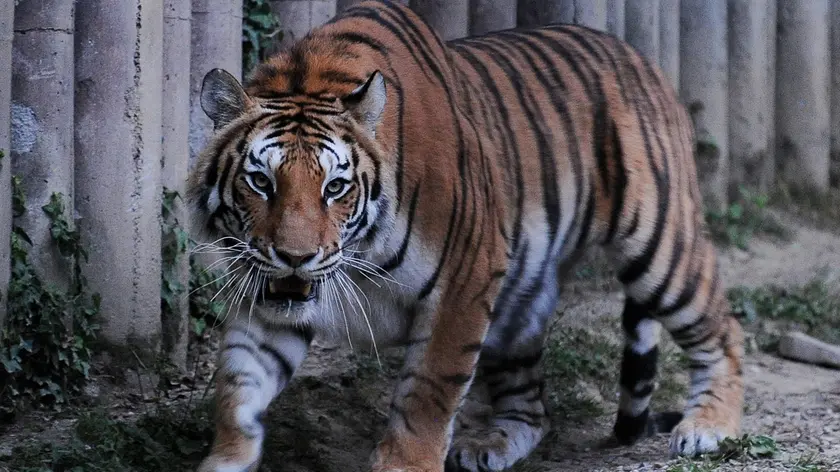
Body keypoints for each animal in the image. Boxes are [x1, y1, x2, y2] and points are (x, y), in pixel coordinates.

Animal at [187, 1, 744, 470]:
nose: (295, 257)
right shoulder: (265, 296)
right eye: (261, 181)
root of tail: (639, 56)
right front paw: (227, 458)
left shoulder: (465, 279)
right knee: (533, 406)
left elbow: (428, 393)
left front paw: (406, 465)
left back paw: (708, 428)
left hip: (657, 244)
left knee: (723, 329)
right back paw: (490, 446)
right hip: (518, 303)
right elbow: (238, 385)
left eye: (335, 187)